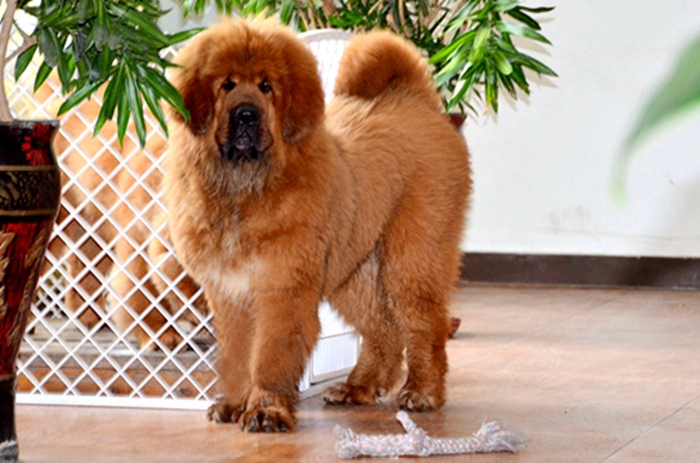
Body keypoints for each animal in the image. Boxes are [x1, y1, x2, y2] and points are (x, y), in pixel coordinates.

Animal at [161, 17, 474, 432]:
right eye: (226, 84)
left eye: (266, 86)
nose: (246, 115)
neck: (243, 189)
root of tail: (414, 98)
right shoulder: (230, 293)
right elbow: (237, 357)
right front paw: (234, 403)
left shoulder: (283, 290)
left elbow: (270, 355)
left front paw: (266, 409)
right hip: (355, 270)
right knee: (383, 329)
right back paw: (358, 387)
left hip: (411, 259)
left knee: (425, 324)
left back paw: (422, 391)